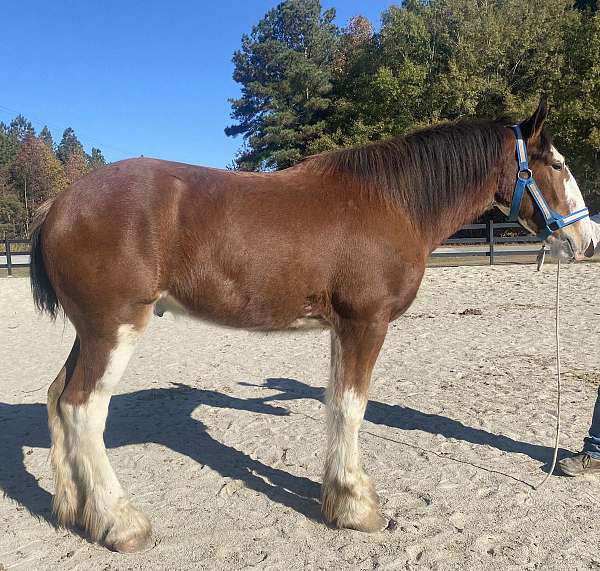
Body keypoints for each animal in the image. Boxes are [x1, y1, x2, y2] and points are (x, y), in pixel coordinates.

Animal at [30, 100, 592, 552]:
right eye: (557, 164)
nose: (587, 239)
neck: (391, 201)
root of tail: (59, 206)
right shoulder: (366, 323)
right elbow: (350, 407)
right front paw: (355, 507)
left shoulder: (344, 328)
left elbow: (336, 404)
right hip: (114, 329)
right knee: (82, 409)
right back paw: (119, 523)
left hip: (91, 333)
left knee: (57, 399)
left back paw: (73, 511)